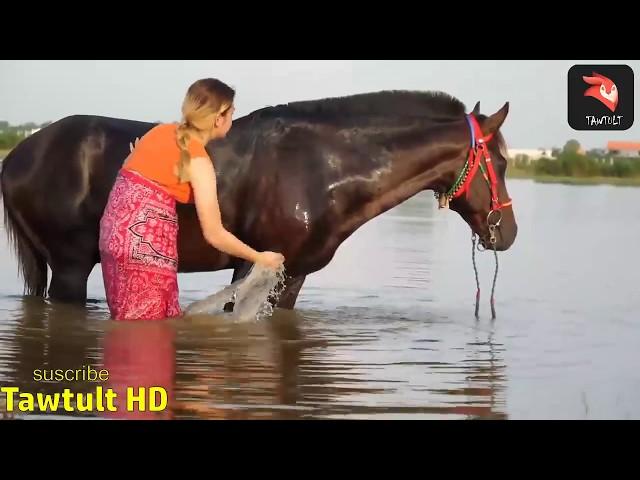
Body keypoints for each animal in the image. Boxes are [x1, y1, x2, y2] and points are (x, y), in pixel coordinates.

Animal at [0, 90, 516, 310]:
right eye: (503, 162)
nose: (506, 233)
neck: (326, 166)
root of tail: (19, 156)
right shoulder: (254, 266)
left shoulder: (293, 275)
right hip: (71, 265)